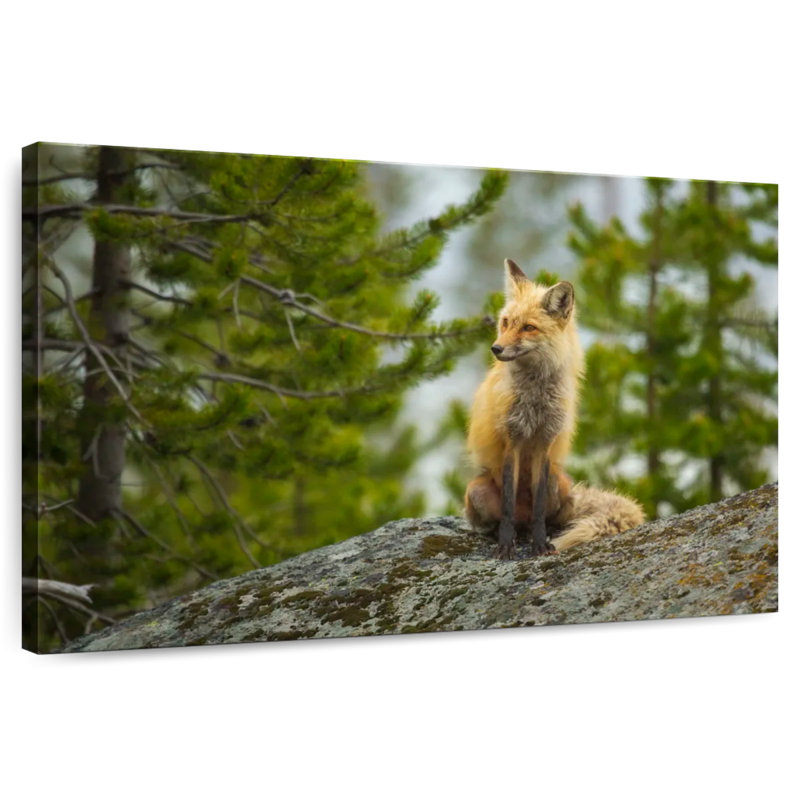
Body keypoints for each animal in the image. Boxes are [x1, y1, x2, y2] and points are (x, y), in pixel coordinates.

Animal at [464, 258, 645, 558]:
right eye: (506, 322)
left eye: (528, 327)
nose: (496, 348)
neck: (535, 398)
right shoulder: (512, 440)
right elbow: (507, 506)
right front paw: (505, 544)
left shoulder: (545, 442)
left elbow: (538, 510)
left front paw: (540, 544)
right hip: (475, 493)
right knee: (504, 519)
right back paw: (504, 533)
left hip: (558, 486)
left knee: (547, 518)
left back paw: (541, 532)